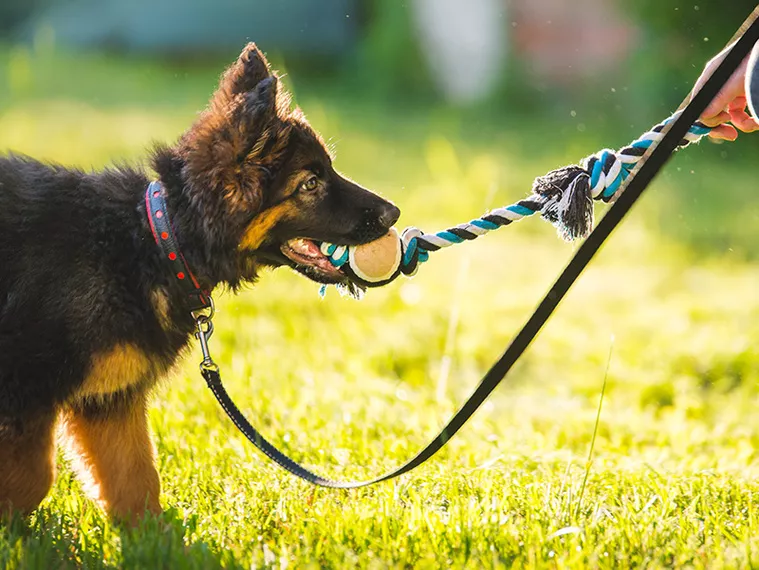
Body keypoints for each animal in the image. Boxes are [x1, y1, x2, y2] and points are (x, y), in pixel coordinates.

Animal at [0, 43, 400, 520]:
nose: (394, 213)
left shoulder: (110, 400)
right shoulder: (26, 391)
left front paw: (151, 535)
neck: (154, 240)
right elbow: (32, 480)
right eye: (309, 183)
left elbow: (137, 483)